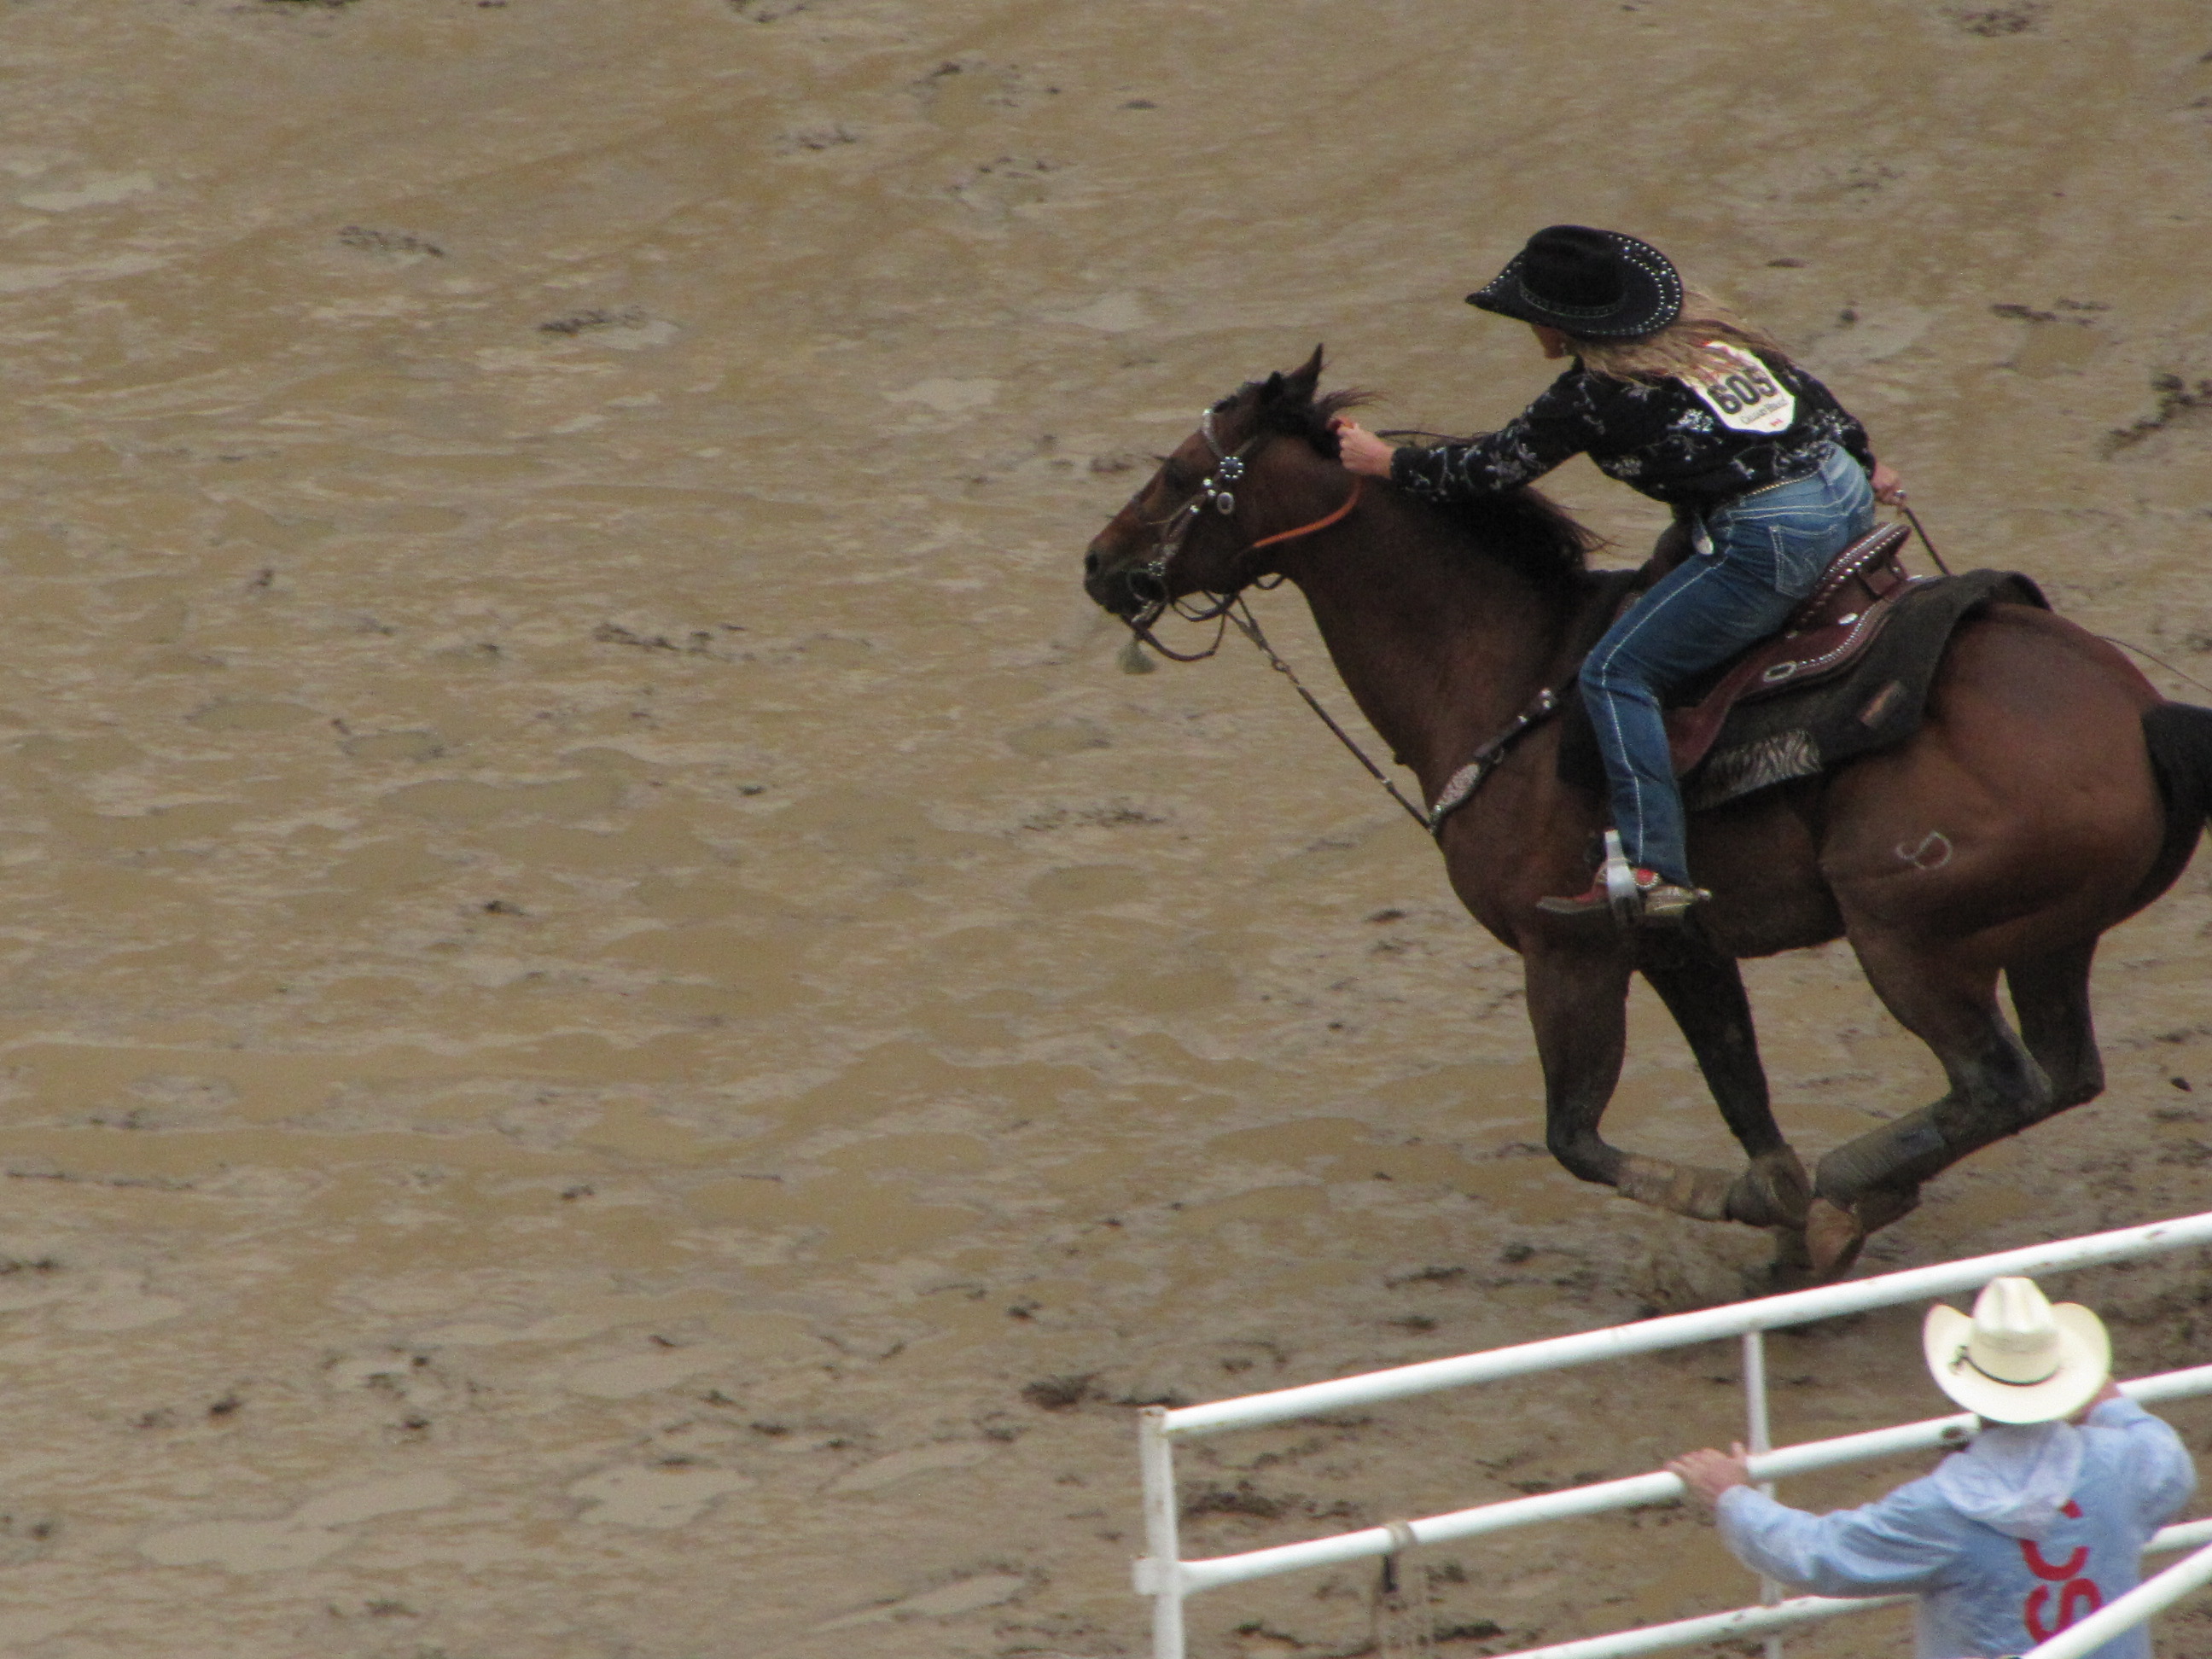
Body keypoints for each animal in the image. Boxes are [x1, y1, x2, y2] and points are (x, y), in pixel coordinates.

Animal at [1080, 347, 2212, 1280]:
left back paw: (1849, 1188)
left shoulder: (1569, 951)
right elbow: (1739, 1086)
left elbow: (1575, 1135)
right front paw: (1784, 1214)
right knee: (2062, 1076)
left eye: (1180, 472)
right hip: (2046, 939)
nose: (1099, 564)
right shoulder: (1679, 945)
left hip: (1907, 938)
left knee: (1999, 1084)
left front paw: (1763, 1204)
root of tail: (2142, 714)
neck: (1514, 677)